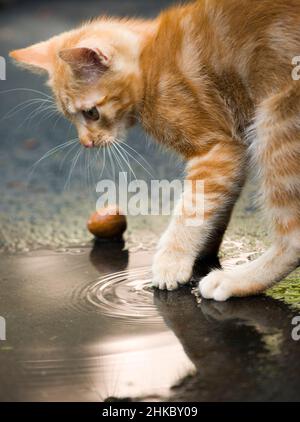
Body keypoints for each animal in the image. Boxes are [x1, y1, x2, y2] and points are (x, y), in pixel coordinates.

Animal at [10, 0, 300, 304]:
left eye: (91, 113)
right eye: (70, 117)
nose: (86, 142)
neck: (150, 63)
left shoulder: (217, 149)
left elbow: (192, 208)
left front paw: (171, 261)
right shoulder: (233, 152)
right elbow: (217, 204)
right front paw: (201, 252)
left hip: (276, 121)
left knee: (293, 239)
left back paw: (235, 281)